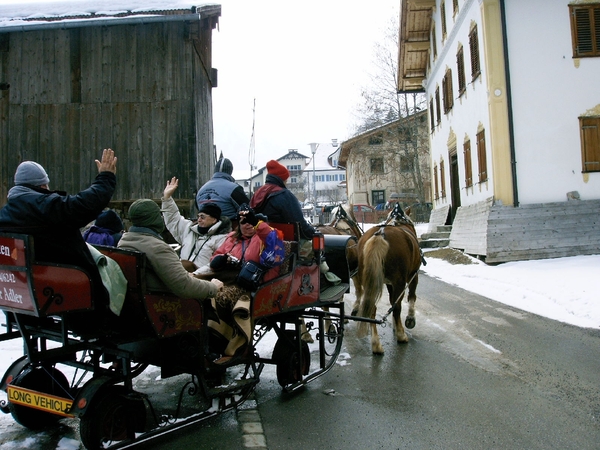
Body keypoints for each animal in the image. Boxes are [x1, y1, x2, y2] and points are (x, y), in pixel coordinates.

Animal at [354, 206, 420, 354]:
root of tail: (380, 234)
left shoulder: (390, 283)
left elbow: (391, 300)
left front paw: (396, 325)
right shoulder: (413, 275)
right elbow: (411, 296)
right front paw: (409, 319)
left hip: (368, 281)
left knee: (373, 308)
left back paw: (376, 344)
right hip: (400, 281)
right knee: (397, 306)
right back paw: (401, 335)